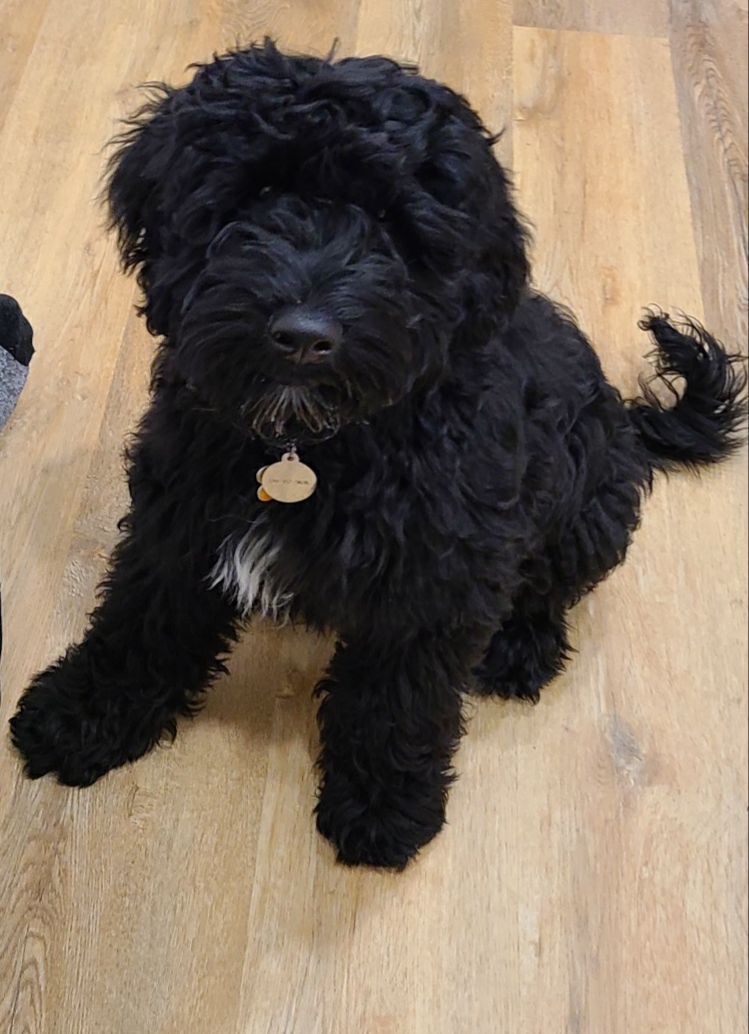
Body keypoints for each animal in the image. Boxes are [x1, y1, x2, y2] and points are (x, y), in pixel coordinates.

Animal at [10, 41, 746, 870]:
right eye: (258, 190)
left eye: (394, 223)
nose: (303, 335)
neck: (306, 443)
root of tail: (622, 416)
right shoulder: (178, 520)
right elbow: (139, 622)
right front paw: (82, 714)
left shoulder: (434, 584)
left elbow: (397, 702)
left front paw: (383, 805)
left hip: (591, 512)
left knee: (551, 589)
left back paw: (518, 648)